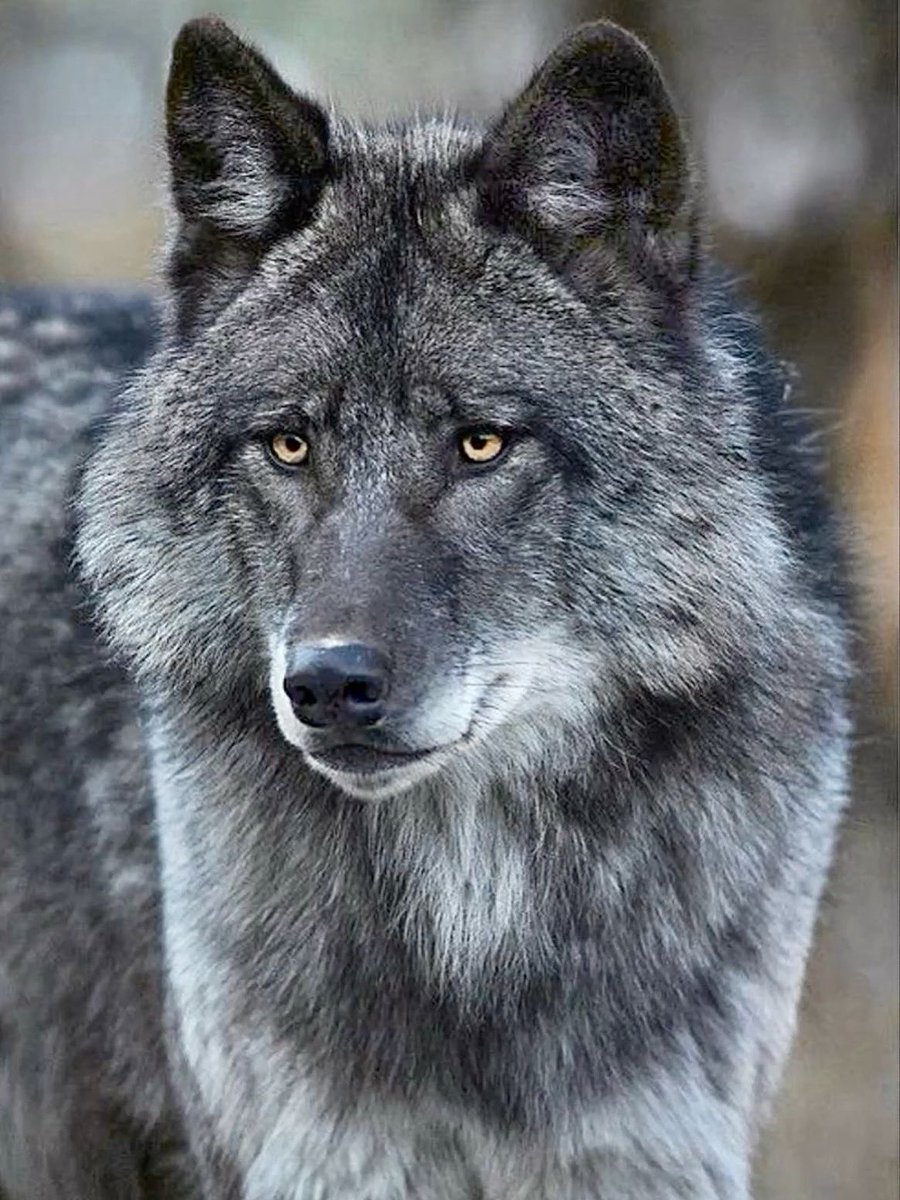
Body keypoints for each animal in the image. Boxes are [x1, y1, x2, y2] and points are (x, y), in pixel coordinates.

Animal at [0, 16, 850, 1200]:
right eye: (289, 444)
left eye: (481, 443)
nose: (327, 685)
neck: (478, 913)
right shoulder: (326, 1162)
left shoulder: (647, 1157)